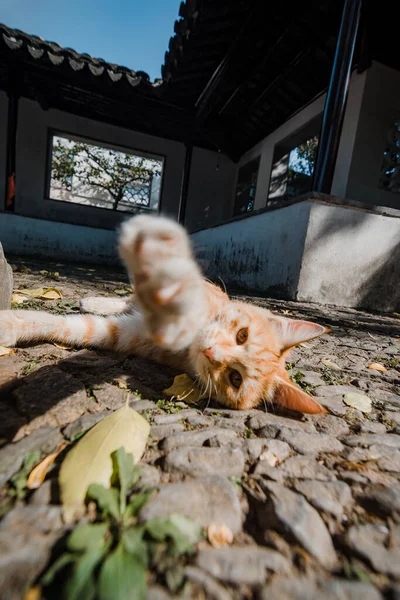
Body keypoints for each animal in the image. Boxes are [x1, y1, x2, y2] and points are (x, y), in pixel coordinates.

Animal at [0, 214, 328, 412]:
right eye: (242, 335)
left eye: (235, 378)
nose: (211, 353)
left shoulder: (122, 335)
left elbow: (74, 328)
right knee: (129, 297)